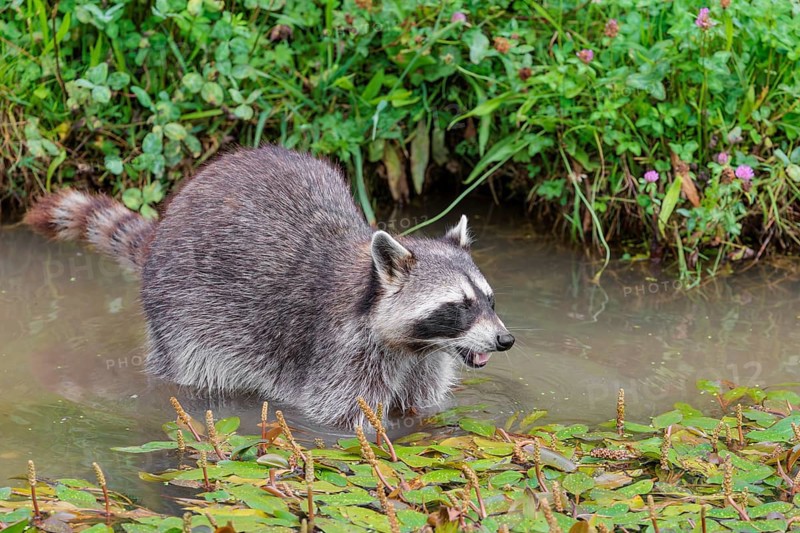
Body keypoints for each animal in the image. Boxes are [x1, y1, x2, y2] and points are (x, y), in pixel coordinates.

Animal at [24, 146, 514, 427]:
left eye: (489, 300)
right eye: (461, 305)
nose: (505, 340)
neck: (416, 345)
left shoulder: (425, 361)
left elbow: (422, 408)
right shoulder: (342, 354)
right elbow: (343, 419)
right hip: (180, 317)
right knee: (195, 375)